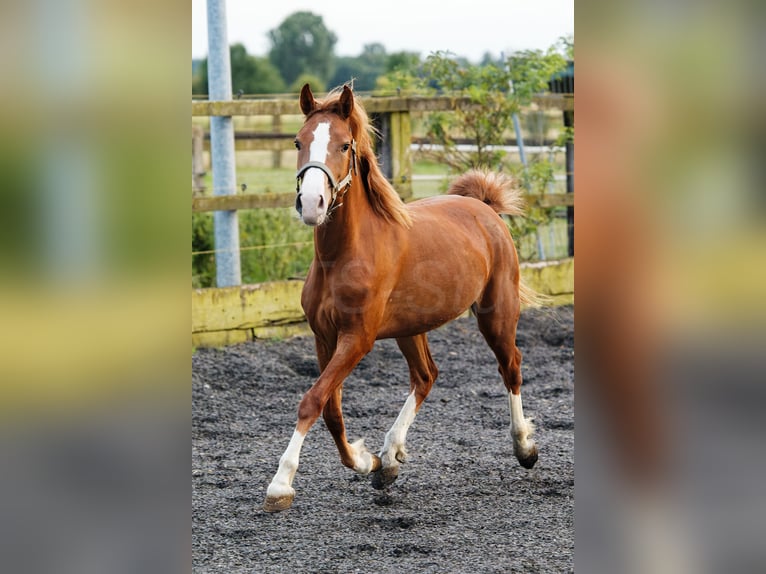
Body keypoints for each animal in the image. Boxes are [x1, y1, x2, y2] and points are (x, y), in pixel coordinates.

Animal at [264, 85, 540, 512]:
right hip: (411, 328)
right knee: (426, 376)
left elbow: (312, 401)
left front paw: (280, 485)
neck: (341, 255)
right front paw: (368, 460)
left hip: (496, 314)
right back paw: (390, 458)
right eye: (298, 141)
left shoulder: (357, 339)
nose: (311, 204)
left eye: (345, 145)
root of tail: (484, 208)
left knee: (510, 366)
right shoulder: (324, 337)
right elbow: (331, 410)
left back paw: (524, 447)